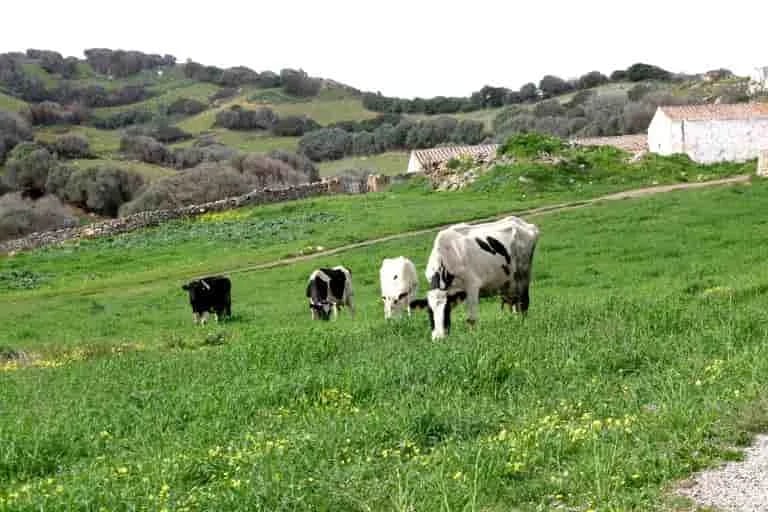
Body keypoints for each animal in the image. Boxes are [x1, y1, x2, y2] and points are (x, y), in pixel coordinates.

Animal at [410, 216, 540, 339]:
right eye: (429, 312)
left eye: (446, 310)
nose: (439, 338)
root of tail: (521, 222)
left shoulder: (472, 286)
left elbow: (471, 319)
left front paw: (473, 337)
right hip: (509, 281)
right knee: (514, 304)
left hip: (523, 275)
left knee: (523, 303)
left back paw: (523, 324)